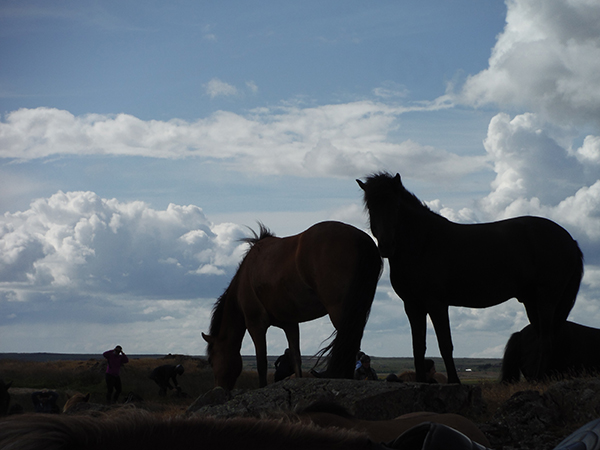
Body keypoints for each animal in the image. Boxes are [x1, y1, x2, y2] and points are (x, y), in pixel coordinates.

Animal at [202, 221, 380, 390]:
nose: (219, 389)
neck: (244, 280)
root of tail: (361, 239)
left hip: (340, 311)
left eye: (212, 360)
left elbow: (261, 362)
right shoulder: (290, 324)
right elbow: (296, 359)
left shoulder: (256, 325)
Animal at [358, 172, 584, 384]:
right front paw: (421, 382)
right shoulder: (413, 305)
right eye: (371, 207)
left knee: (546, 340)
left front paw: (454, 381)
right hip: (531, 301)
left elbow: (445, 344)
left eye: (396, 205)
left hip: (547, 298)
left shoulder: (436, 303)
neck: (423, 243)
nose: (386, 246)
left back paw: (538, 379)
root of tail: (570, 240)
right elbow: (418, 347)